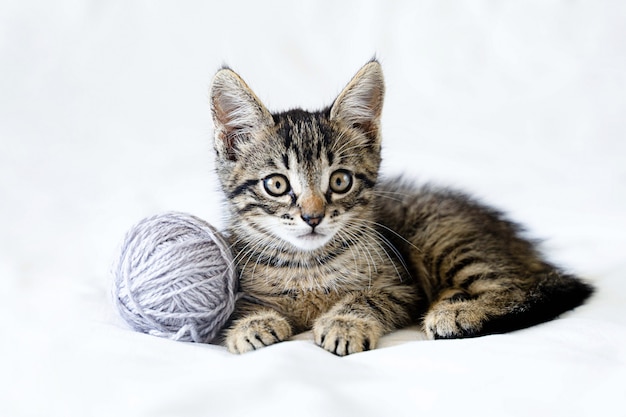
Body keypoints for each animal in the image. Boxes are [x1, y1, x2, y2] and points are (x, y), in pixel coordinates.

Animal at [208, 60, 588, 356]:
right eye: (277, 185)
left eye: (340, 181)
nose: (312, 217)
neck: (308, 265)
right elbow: (240, 307)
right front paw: (251, 323)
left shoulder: (401, 287)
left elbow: (367, 298)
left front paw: (345, 323)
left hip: (440, 236)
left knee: (519, 287)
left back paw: (457, 314)